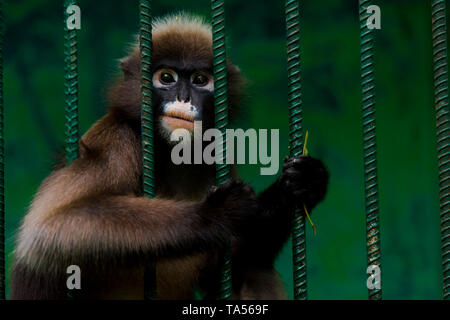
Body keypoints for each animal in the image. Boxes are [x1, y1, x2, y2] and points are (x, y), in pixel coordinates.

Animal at [9, 13, 326, 300]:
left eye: (200, 80)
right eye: (166, 78)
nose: (184, 99)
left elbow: (235, 265)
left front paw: (303, 182)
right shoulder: (116, 141)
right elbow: (50, 228)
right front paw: (214, 213)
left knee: (254, 271)